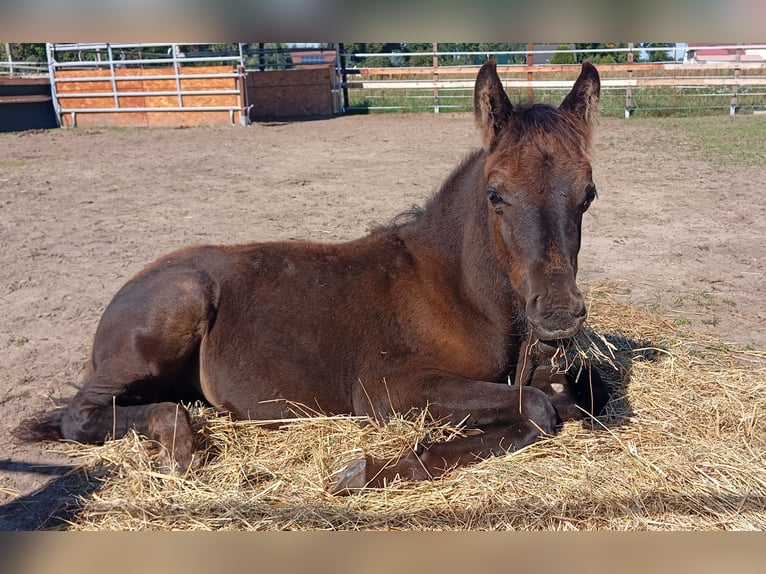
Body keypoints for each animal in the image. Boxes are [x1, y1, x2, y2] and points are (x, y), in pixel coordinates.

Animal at [17, 60, 609, 492]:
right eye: (495, 194)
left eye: (589, 194)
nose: (559, 313)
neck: (456, 290)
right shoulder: (387, 389)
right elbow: (537, 409)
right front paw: (368, 470)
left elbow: (574, 395)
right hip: (175, 310)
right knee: (80, 415)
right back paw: (178, 442)